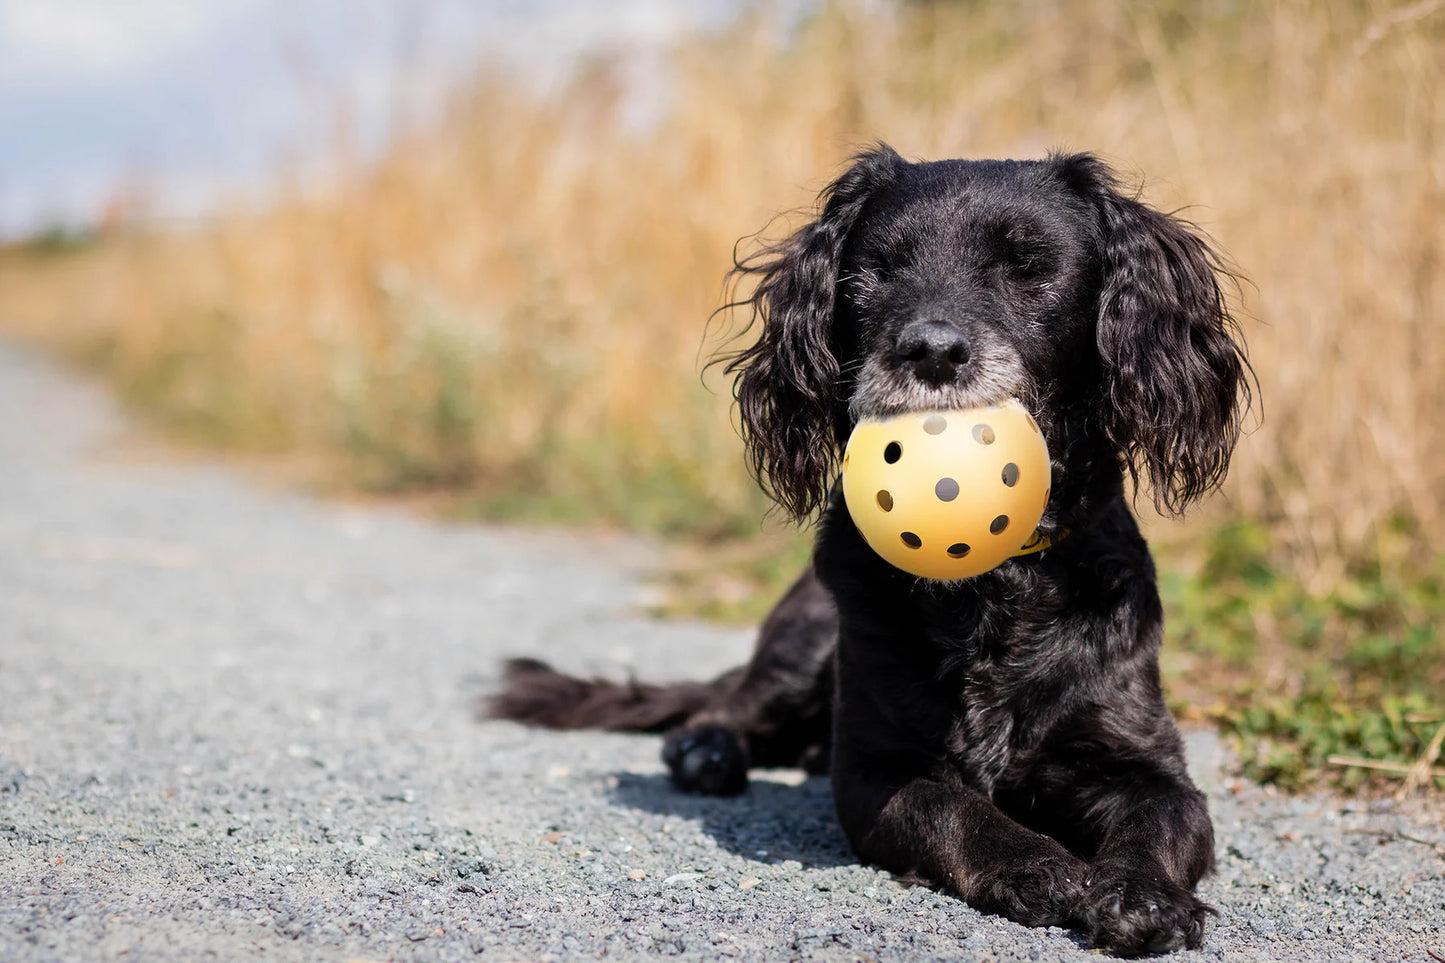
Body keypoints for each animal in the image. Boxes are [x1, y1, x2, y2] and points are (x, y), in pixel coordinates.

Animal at [488, 146, 1254, 954]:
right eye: (875, 272)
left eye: (1028, 267)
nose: (931, 350)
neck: (992, 585)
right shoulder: (873, 770)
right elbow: (956, 811)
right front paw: (1041, 868)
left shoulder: (1144, 761)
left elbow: (1159, 820)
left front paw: (1142, 896)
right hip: (805, 640)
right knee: (719, 710)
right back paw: (709, 751)